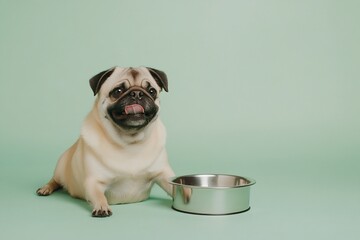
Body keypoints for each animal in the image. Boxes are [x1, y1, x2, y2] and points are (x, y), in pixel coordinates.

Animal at [37, 66, 175, 218]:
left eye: (152, 91)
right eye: (118, 91)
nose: (137, 93)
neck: (130, 141)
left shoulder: (164, 174)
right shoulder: (94, 181)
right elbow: (99, 195)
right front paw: (102, 207)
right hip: (60, 168)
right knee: (54, 180)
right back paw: (45, 188)